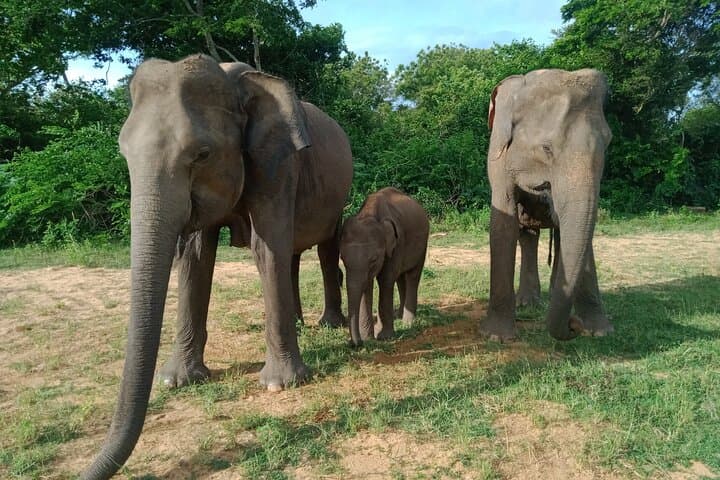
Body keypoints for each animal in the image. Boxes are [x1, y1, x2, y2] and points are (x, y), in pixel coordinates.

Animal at [82, 54, 352, 480]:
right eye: (123, 153)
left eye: (202, 154)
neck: (232, 81)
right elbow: (195, 255)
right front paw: (177, 381)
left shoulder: (278, 163)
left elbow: (266, 246)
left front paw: (279, 386)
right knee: (292, 254)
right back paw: (300, 324)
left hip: (336, 195)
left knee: (324, 247)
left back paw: (329, 325)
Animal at [340, 187, 429, 346]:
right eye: (342, 259)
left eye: (374, 260)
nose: (357, 344)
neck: (370, 215)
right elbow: (367, 285)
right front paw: (368, 337)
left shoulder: (397, 244)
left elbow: (385, 280)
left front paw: (384, 337)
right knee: (400, 278)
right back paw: (398, 316)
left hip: (423, 243)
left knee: (412, 276)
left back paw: (408, 322)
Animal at [482, 68, 613, 342]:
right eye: (546, 148)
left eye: (608, 144)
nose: (574, 326)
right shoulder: (498, 155)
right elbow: (503, 222)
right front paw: (497, 338)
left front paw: (600, 332)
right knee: (527, 235)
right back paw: (528, 304)